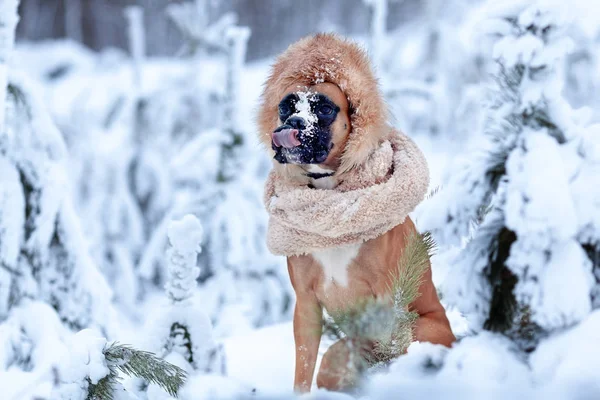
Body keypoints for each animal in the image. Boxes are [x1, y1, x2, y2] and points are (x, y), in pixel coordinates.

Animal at [258, 33, 454, 390]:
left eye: (324, 108)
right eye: (285, 106)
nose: (293, 123)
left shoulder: (386, 301)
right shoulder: (306, 307)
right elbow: (303, 367)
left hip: (424, 329)